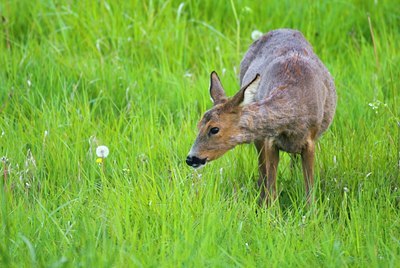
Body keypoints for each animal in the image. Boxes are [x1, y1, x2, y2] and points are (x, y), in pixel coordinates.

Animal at [186, 28, 336, 205]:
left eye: (214, 129)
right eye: (198, 125)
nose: (191, 158)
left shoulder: (310, 141)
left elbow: (309, 191)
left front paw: (311, 211)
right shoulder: (270, 141)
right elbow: (272, 188)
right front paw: (269, 210)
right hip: (259, 139)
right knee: (263, 171)